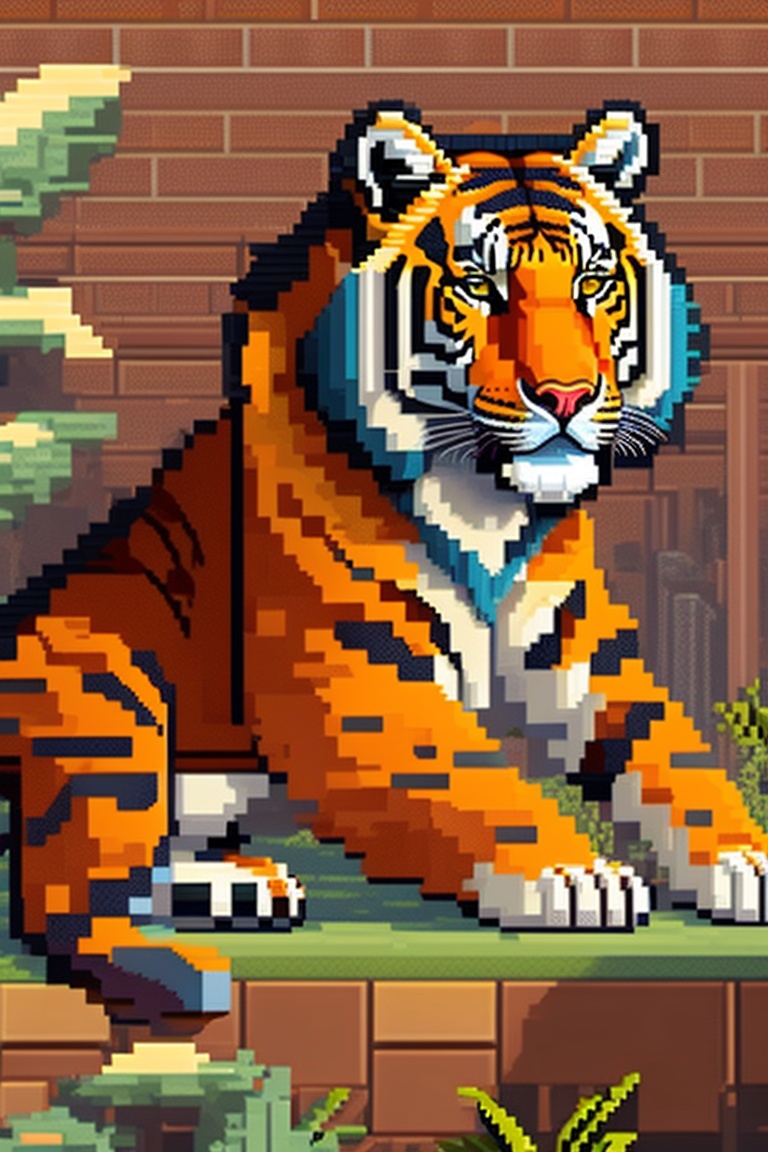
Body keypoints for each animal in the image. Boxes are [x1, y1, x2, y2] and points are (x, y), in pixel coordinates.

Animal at [1, 100, 765, 1023]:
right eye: (481, 287)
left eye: (590, 283)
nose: (568, 397)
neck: (488, 497)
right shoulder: (359, 684)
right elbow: (478, 777)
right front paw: (573, 875)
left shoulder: (588, 653)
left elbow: (670, 754)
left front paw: (744, 859)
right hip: (104, 701)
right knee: (62, 900)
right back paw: (187, 973)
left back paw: (241, 886)